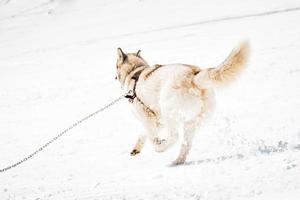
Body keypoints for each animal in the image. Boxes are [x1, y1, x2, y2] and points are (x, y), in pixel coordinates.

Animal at [115, 41, 248, 164]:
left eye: (116, 66)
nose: (114, 77)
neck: (135, 72)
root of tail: (193, 76)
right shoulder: (157, 122)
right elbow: (143, 134)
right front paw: (136, 149)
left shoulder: (148, 117)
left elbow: (151, 136)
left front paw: (157, 144)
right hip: (191, 122)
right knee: (186, 145)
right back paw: (177, 161)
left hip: (168, 111)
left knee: (175, 136)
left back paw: (162, 147)